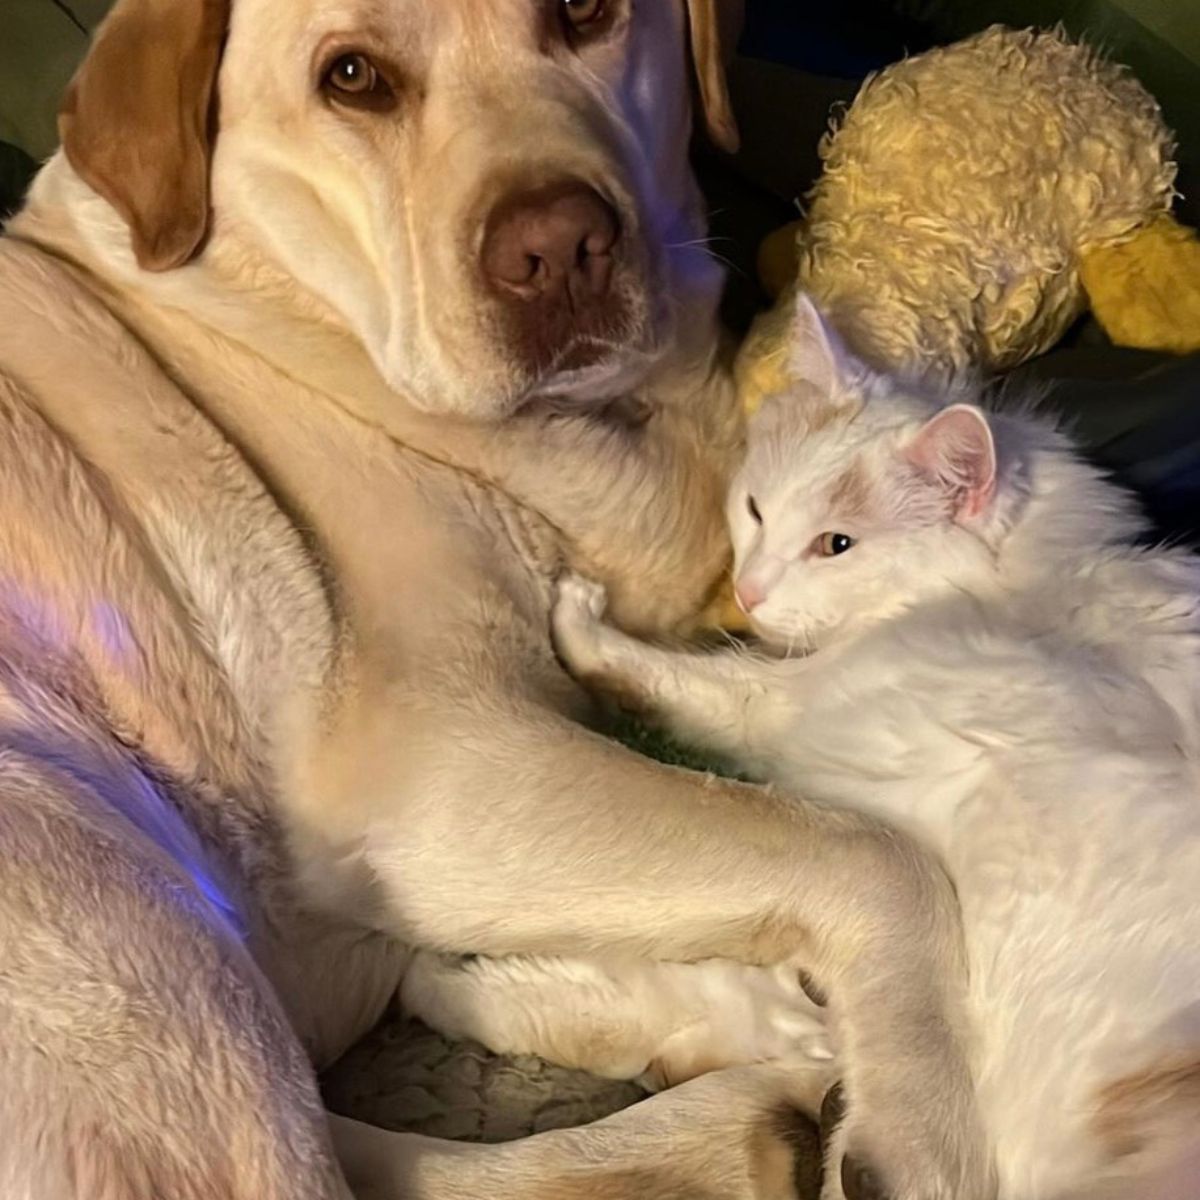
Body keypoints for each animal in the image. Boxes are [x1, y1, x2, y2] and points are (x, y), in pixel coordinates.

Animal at [0, 2, 988, 1200]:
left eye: (585, 12)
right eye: (351, 77)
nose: (557, 246)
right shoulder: (445, 768)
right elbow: (872, 852)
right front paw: (923, 1123)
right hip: (113, 896)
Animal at [542, 292, 1200, 1200]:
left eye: (837, 546)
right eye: (756, 510)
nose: (748, 591)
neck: (1035, 581)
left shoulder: (792, 708)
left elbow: (684, 678)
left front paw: (581, 616)